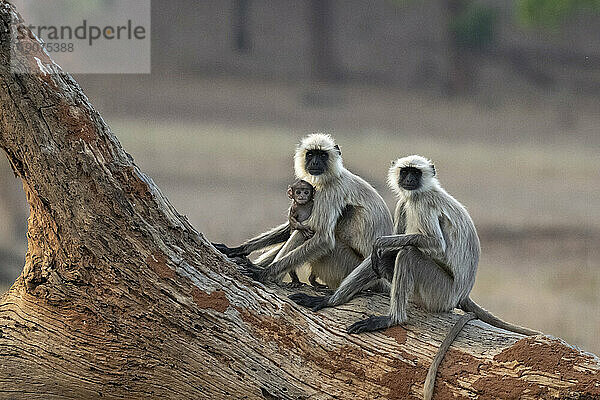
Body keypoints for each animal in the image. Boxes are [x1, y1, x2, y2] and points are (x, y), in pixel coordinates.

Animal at [214, 133, 394, 290]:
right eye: (311, 154)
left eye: (322, 155)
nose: (314, 162)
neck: (332, 176)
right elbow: (293, 225)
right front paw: (238, 249)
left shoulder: (331, 190)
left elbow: (323, 238)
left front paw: (264, 273)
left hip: (346, 266)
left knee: (308, 233)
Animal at [290, 155, 540, 400]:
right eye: (405, 172)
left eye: (415, 172)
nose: (409, 179)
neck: (422, 192)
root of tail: (462, 294)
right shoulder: (404, 203)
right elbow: (378, 254)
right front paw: (328, 301)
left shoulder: (422, 204)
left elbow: (428, 244)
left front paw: (380, 242)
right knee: (390, 256)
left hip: (440, 293)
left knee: (407, 253)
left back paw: (393, 319)